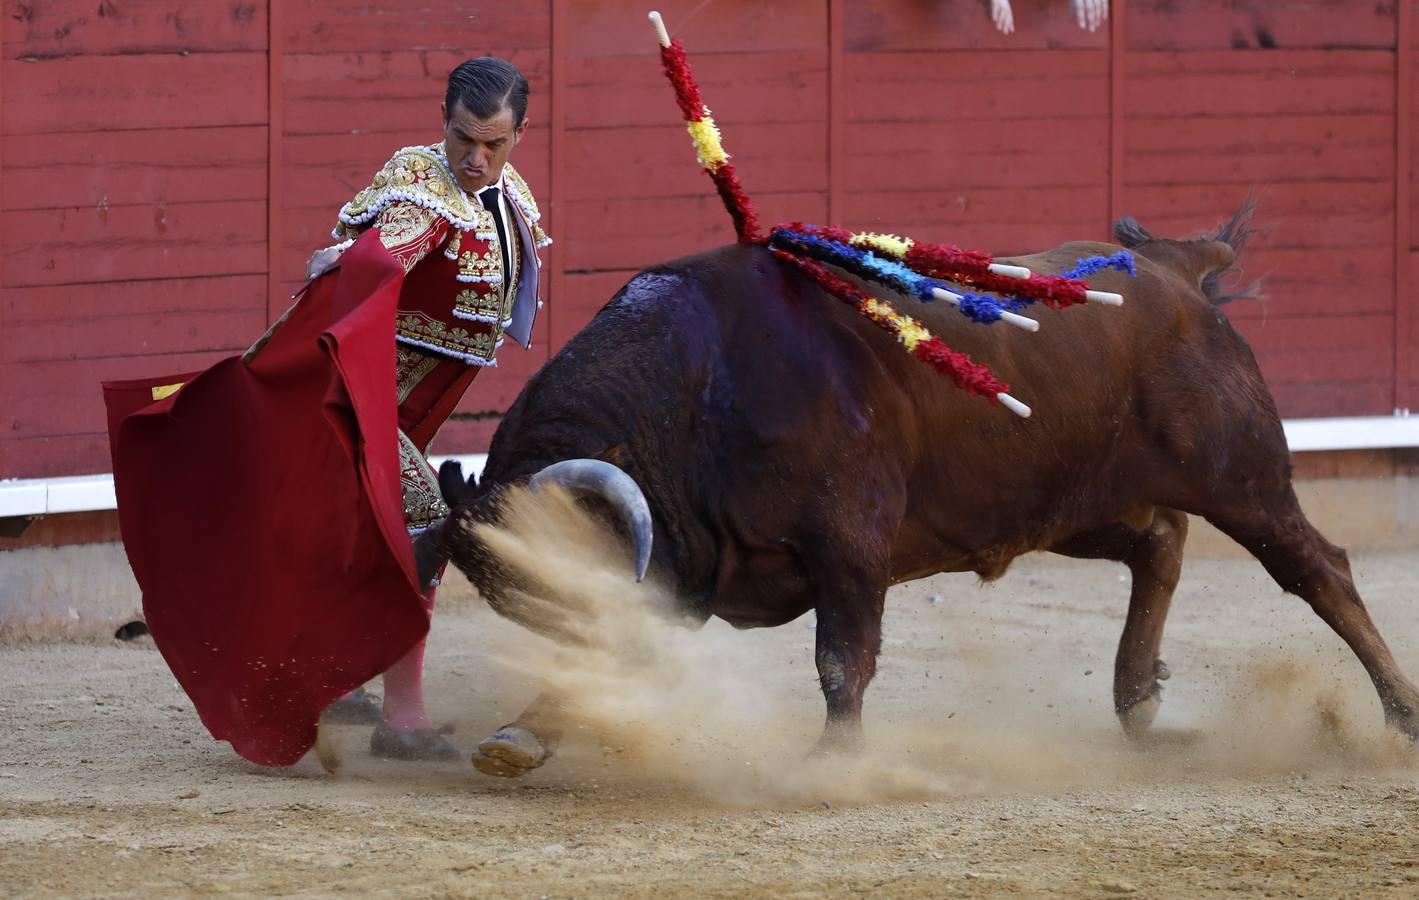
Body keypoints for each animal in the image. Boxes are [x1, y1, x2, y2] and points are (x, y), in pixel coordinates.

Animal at [414, 207, 1419, 772]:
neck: (696, 394)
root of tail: (1175, 270)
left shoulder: (847, 545)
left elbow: (840, 658)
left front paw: (834, 761)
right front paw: (519, 737)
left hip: (1239, 475)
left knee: (1318, 569)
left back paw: (1399, 716)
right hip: (1064, 500)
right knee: (1159, 545)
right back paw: (1136, 700)